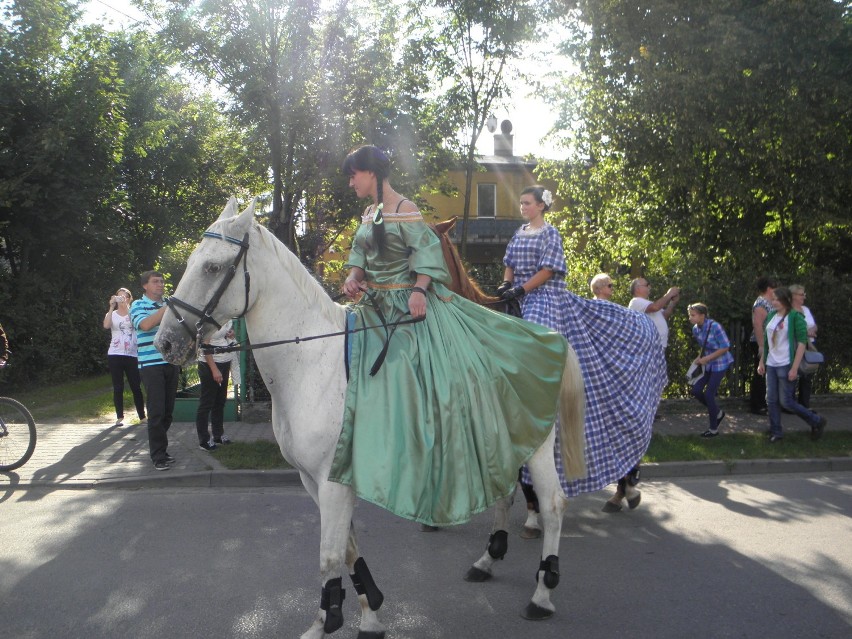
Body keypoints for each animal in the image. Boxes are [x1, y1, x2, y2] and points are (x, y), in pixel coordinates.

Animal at [155, 200, 584, 639]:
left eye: (213, 267)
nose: (165, 343)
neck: (311, 363)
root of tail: (550, 338)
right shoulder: (316, 481)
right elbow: (347, 549)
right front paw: (369, 614)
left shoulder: (332, 483)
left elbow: (329, 556)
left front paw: (324, 622)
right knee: (506, 493)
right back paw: (487, 561)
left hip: (537, 445)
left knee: (553, 504)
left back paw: (542, 594)